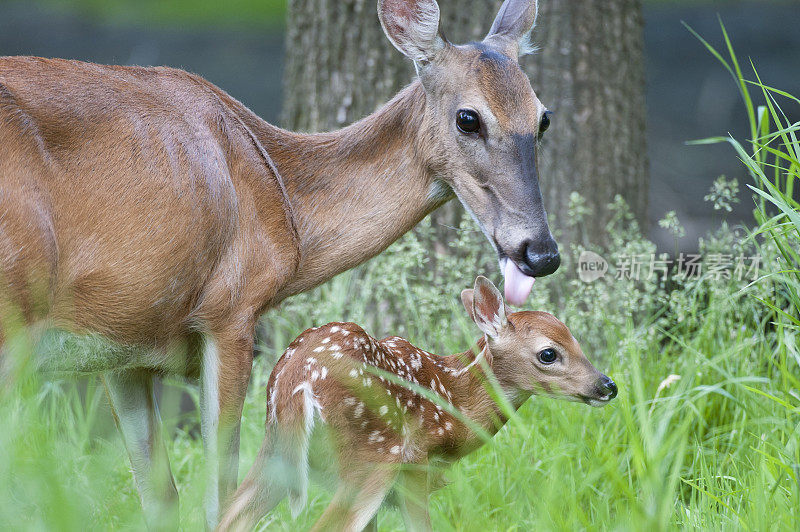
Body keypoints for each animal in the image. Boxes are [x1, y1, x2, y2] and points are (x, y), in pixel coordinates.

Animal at [0, 0, 560, 524]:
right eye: (468, 118)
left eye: (543, 118)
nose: (541, 251)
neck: (283, 199)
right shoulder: (230, 308)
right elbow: (218, 497)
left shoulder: (122, 342)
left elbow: (160, 500)